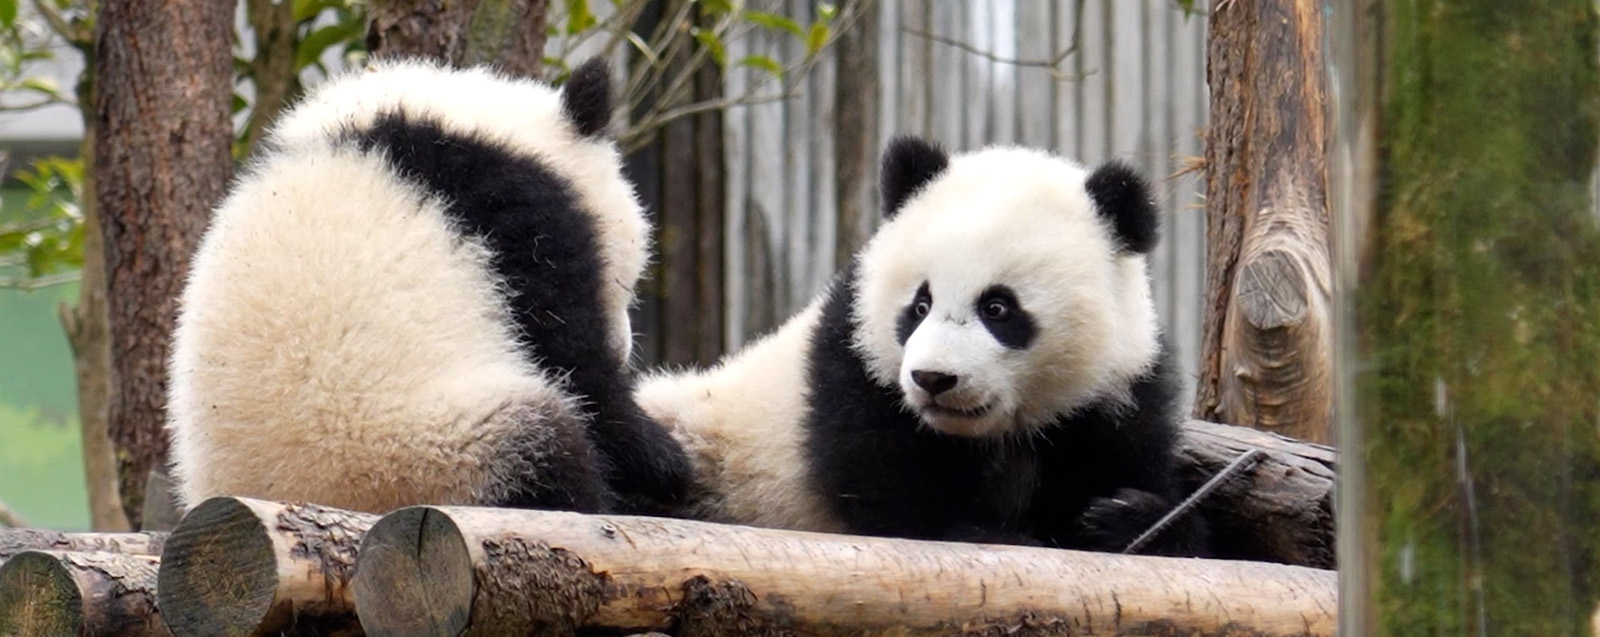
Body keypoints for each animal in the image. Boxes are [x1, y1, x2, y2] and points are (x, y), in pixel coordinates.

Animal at [165, 57, 690, 516]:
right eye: (628, 279)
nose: (625, 346)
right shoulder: (509, 217)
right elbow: (571, 359)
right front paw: (664, 459)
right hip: (426, 448)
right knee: (548, 452)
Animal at [637, 136, 1205, 555]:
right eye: (920, 304)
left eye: (997, 308)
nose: (933, 379)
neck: (990, 434)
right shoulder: (854, 364)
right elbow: (893, 496)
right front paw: (995, 533)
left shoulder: (1112, 393)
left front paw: (1119, 517)